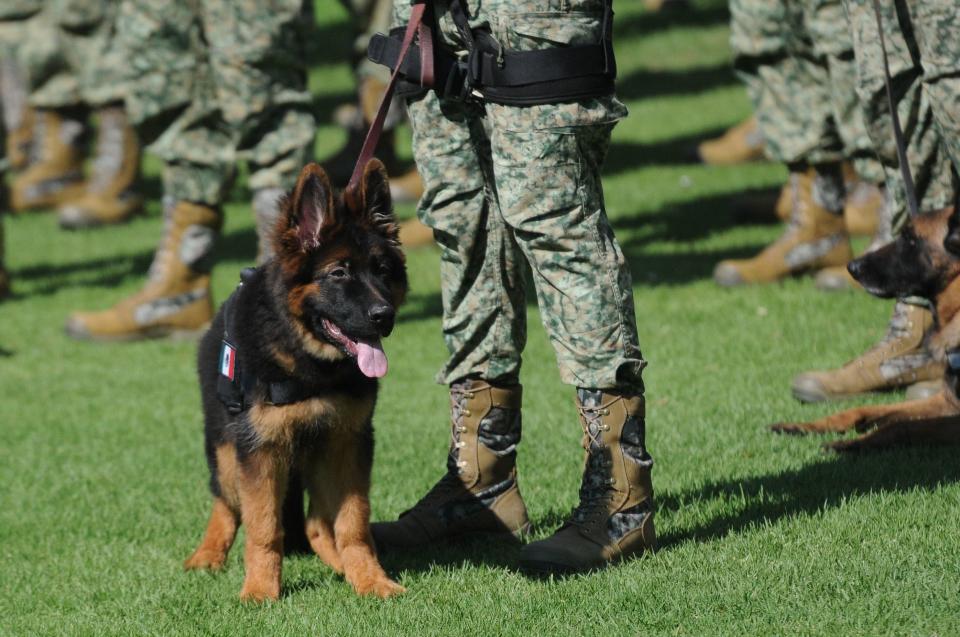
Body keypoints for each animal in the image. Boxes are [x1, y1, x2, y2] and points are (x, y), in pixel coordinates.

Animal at [182, 159, 406, 600]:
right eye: (339, 273)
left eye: (383, 271)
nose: (384, 316)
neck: (310, 364)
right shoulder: (260, 449)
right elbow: (264, 528)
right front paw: (259, 590)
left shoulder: (347, 442)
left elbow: (352, 524)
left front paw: (370, 579)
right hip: (227, 452)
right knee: (226, 502)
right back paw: (208, 555)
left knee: (317, 523)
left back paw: (338, 565)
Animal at [768, 206, 960, 450]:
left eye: (911, 240)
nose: (852, 266)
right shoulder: (947, 400)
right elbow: (863, 410)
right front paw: (805, 426)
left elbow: (901, 425)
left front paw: (851, 443)